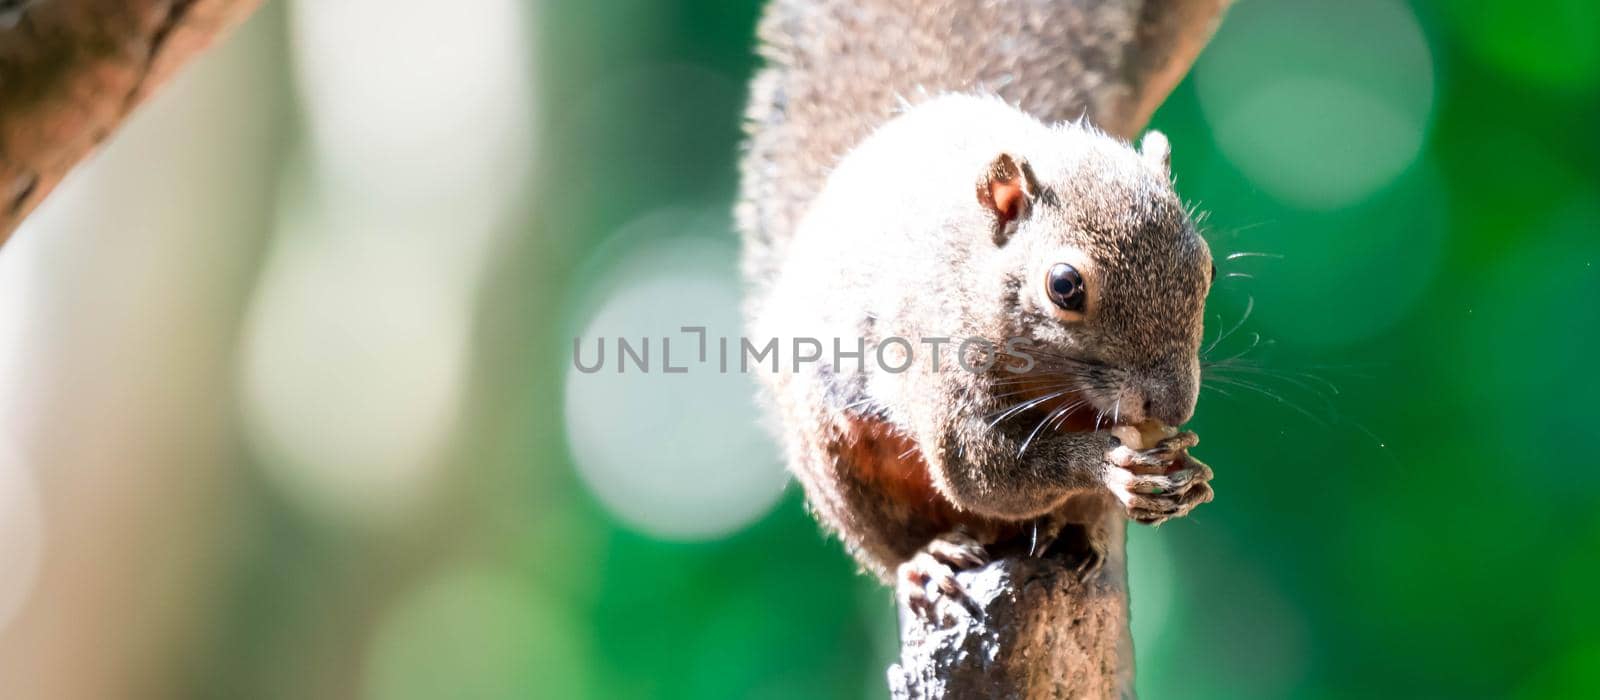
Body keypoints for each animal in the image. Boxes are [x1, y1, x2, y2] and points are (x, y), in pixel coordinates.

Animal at [736, 0, 1209, 613]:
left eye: (1208, 266)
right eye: (1064, 285)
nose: (1174, 407)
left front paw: (1188, 475)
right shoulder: (935, 362)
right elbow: (978, 470)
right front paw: (1102, 462)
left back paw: (1076, 530)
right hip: (836, 455)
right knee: (888, 540)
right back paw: (925, 560)